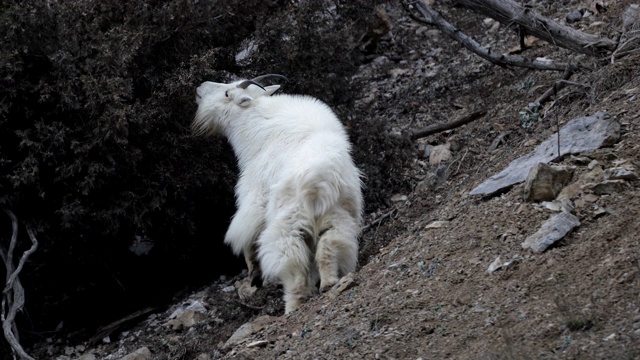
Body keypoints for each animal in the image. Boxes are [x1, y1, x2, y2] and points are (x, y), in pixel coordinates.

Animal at [190, 74, 362, 312]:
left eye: (227, 93)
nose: (200, 88)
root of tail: (320, 178)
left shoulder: (254, 197)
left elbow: (247, 233)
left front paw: (254, 274)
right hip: (338, 215)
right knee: (330, 244)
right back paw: (328, 282)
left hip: (288, 223)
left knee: (293, 264)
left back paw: (292, 305)